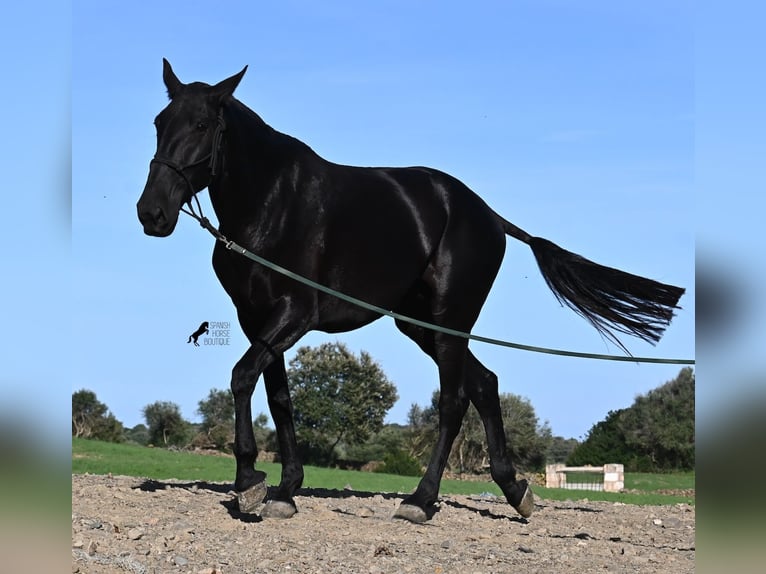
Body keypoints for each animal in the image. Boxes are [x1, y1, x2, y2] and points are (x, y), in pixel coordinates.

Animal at [137, 59, 685, 522]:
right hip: (419, 323)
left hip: (449, 322)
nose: (152, 213)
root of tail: (488, 215)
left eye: (202, 126)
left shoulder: (295, 313)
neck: (272, 204)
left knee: (454, 402)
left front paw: (250, 481)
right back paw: (516, 491)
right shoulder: (258, 318)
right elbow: (278, 397)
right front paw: (285, 489)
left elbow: (241, 376)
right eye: (160, 122)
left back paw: (421, 500)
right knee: (484, 385)